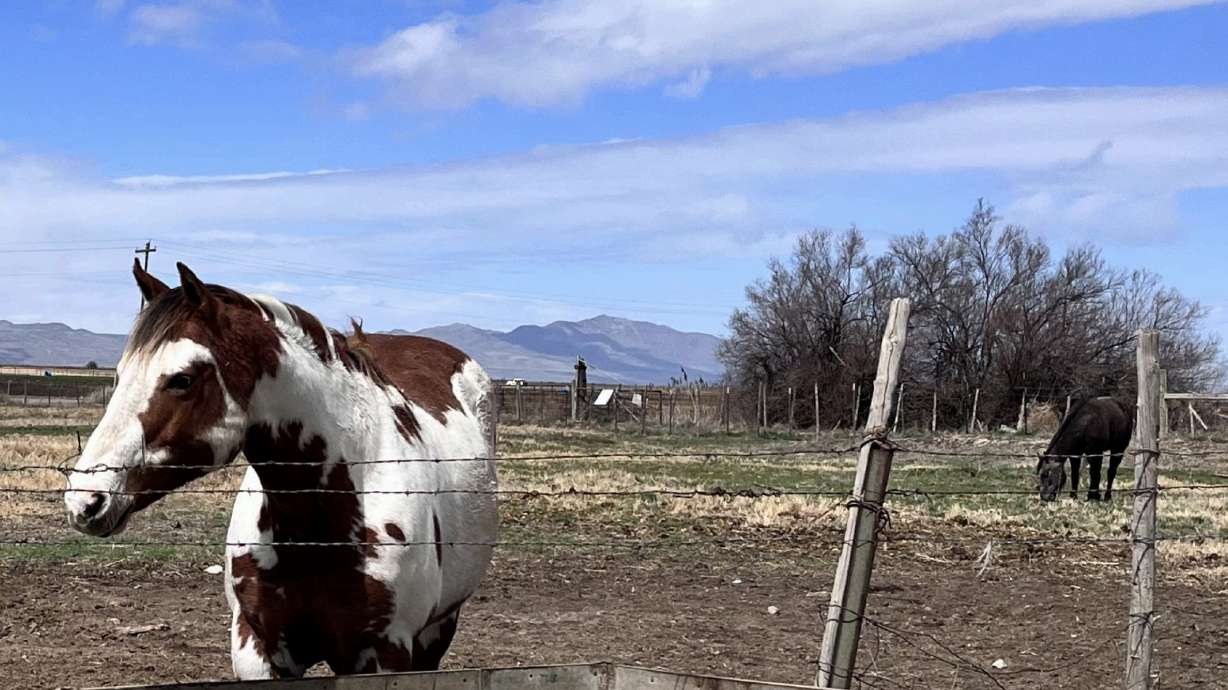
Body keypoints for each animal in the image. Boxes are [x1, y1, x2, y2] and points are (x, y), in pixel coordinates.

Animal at [64, 261, 497, 679]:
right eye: (120, 375)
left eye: (182, 379)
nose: (86, 501)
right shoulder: (257, 646)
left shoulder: (384, 653)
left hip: (437, 631)